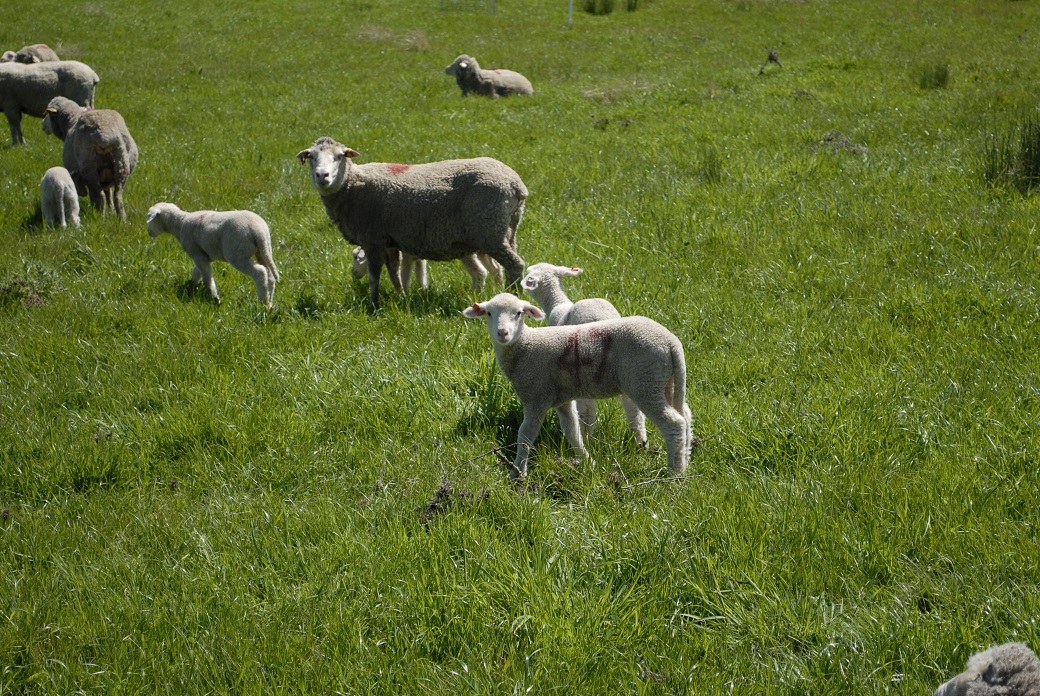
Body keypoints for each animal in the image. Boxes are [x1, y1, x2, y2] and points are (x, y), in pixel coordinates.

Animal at [144, 201, 280, 307]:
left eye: (151, 220)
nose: (149, 233)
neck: (180, 223)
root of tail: (257, 230)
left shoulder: (197, 254)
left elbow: (207, 277)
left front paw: (214, 297)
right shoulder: (205, 255)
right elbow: (197, 271)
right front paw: (192, 285)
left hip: (237, 253)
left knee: (260, 272)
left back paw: (262, 301)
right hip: (263, 250)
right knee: (269, 275)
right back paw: (269, 302)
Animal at [351, 246, 505, 293]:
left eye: (355, 256)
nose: (353, 274)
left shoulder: (407, 256)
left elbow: (405, 273)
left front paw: (404, 293)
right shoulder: (417, 257)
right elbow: (420, 273)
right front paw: (423, 289)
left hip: (467, 253)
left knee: (480, 273)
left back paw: (474, 294)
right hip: (483, 251)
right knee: (497, 269)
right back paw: (499, 289)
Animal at [461, 289, 690, 478]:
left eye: (519, 313)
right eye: (489, 314)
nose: (503, 333)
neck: (525, 347)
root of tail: (672, 342)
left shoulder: (536, 397)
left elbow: (525, 434)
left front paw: (517, 472)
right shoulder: (561, 400)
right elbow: (572, 431)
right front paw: (588, 463)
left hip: (645, 382)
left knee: (674, 423)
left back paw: (674, 474)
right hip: (665, 381)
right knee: (686, 416)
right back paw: (686, 460)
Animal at [520, 260, 648, 445]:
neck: (557, 303)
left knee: (587, 411)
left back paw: (585, 439)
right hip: (626, 366)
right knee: (634, 408)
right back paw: (640, 442)